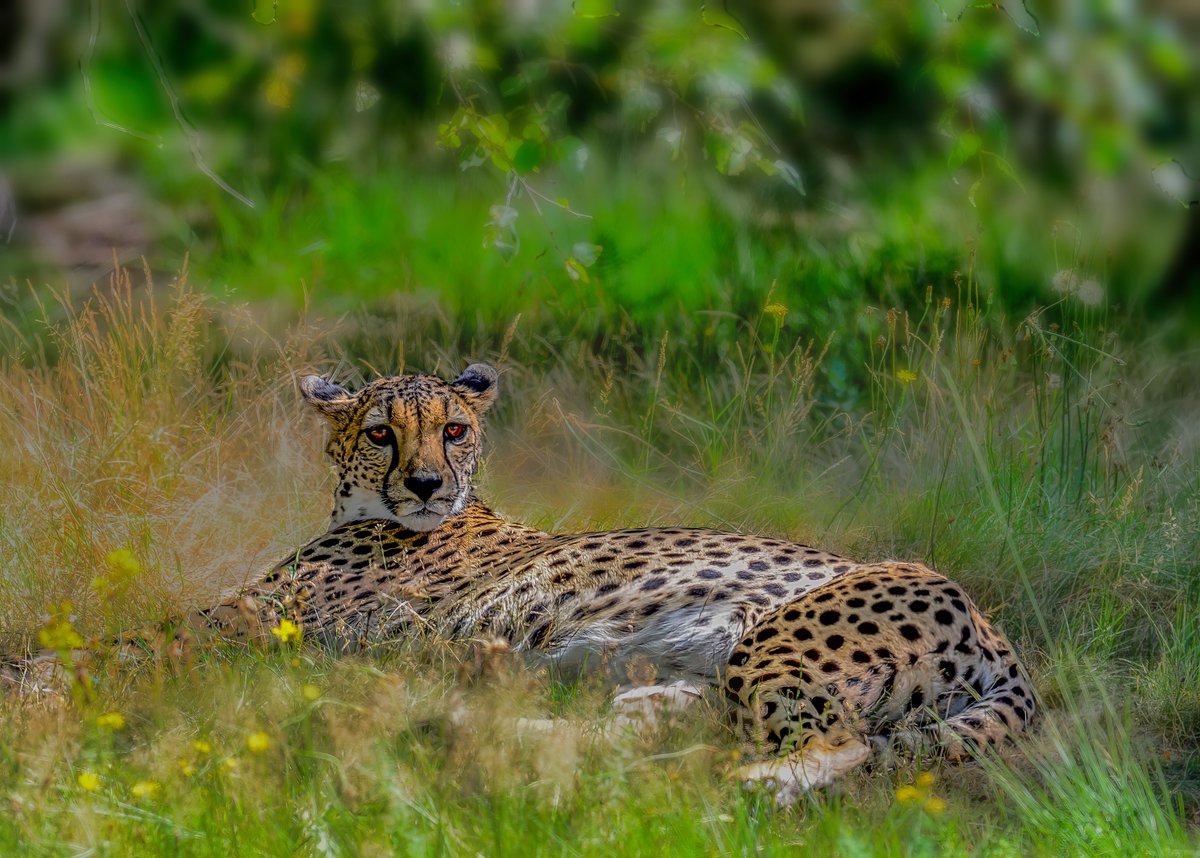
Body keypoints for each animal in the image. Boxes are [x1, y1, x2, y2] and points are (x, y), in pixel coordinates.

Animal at [6, 363, 1036, 804]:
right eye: (380, 432)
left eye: (455, 429)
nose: (427, 484)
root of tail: (996, 631)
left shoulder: (260, 623)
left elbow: (123, 642)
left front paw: (31, 682)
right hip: (704, 669)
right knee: (673, 726)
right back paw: (501, 723)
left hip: (777, 647)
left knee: (829, 746)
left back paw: (730, 792)